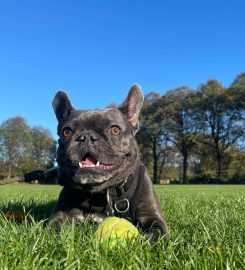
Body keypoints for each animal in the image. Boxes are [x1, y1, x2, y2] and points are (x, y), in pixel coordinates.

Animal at [47, 84, 167, 243]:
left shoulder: (152, 217)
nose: (87, 136)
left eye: (115, 129)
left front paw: (137, 242)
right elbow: (53, 228)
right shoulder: (60, 215)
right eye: (66, 132)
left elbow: (153, 234)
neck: (101, 193)